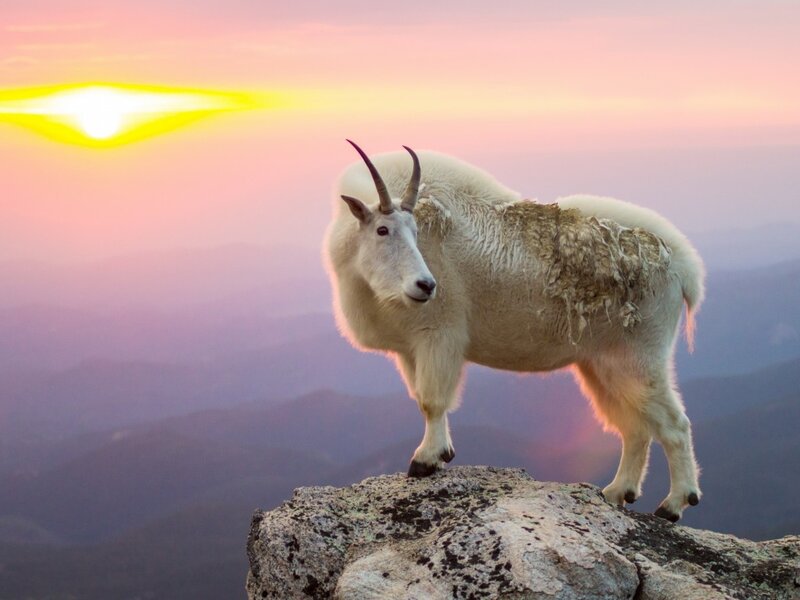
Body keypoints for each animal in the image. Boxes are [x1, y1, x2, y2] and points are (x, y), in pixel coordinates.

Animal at [324, 140, 705, 522]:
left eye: (416, 232)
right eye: (382, 230)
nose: (426, 285)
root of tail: (684, 269)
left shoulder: (439, 334)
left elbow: (432, 401)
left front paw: (425, 460)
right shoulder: (410, 348)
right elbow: (421, 399)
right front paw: (441, 454)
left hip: (641, 355)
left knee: (675, 423)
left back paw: (674, 504)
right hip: (602, 364)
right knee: (634, 427)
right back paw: (617, 492)